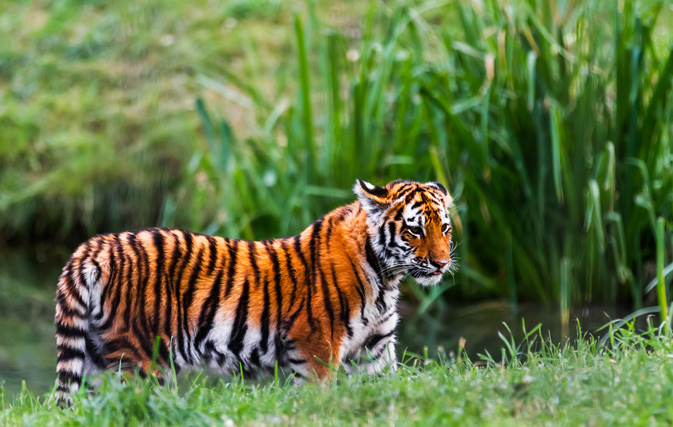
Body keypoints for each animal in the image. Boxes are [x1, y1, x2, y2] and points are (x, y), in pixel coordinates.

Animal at [52, 180, 452, 404]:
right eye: (415, 230)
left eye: (445, 228)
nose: (441, 263)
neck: (386, 277)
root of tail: (94, 245)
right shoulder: (316, 342)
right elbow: (317, 392)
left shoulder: (375, 349)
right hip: (140, 358)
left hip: (95, 356)